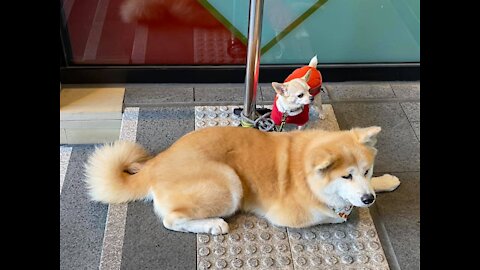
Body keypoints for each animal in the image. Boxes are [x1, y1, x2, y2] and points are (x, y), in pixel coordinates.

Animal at [84, 126, 400, 234]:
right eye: (346, 175)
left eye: (366, 171)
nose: (368, 199)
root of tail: (156, 164)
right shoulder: (289, 215)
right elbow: (333, 215)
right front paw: (343, 209)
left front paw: (385, 181)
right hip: (229, 182)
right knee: (172, 220)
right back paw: (212, 225)